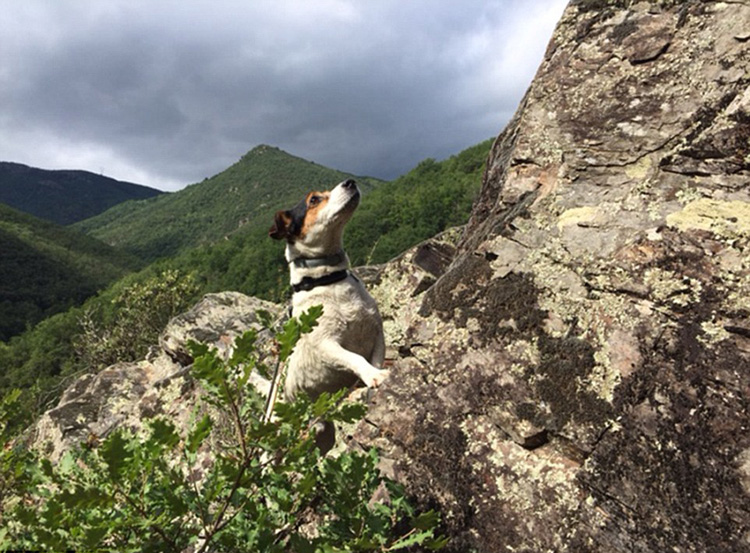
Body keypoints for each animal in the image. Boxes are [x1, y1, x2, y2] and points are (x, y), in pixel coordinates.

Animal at [268, 179, 388, 420]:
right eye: (314, 199)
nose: (350, 181)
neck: (328, 279)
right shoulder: (327, 344)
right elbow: (356, 358)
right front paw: (374, 375)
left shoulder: (377, 331)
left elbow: (376, 358)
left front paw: (375, 372)